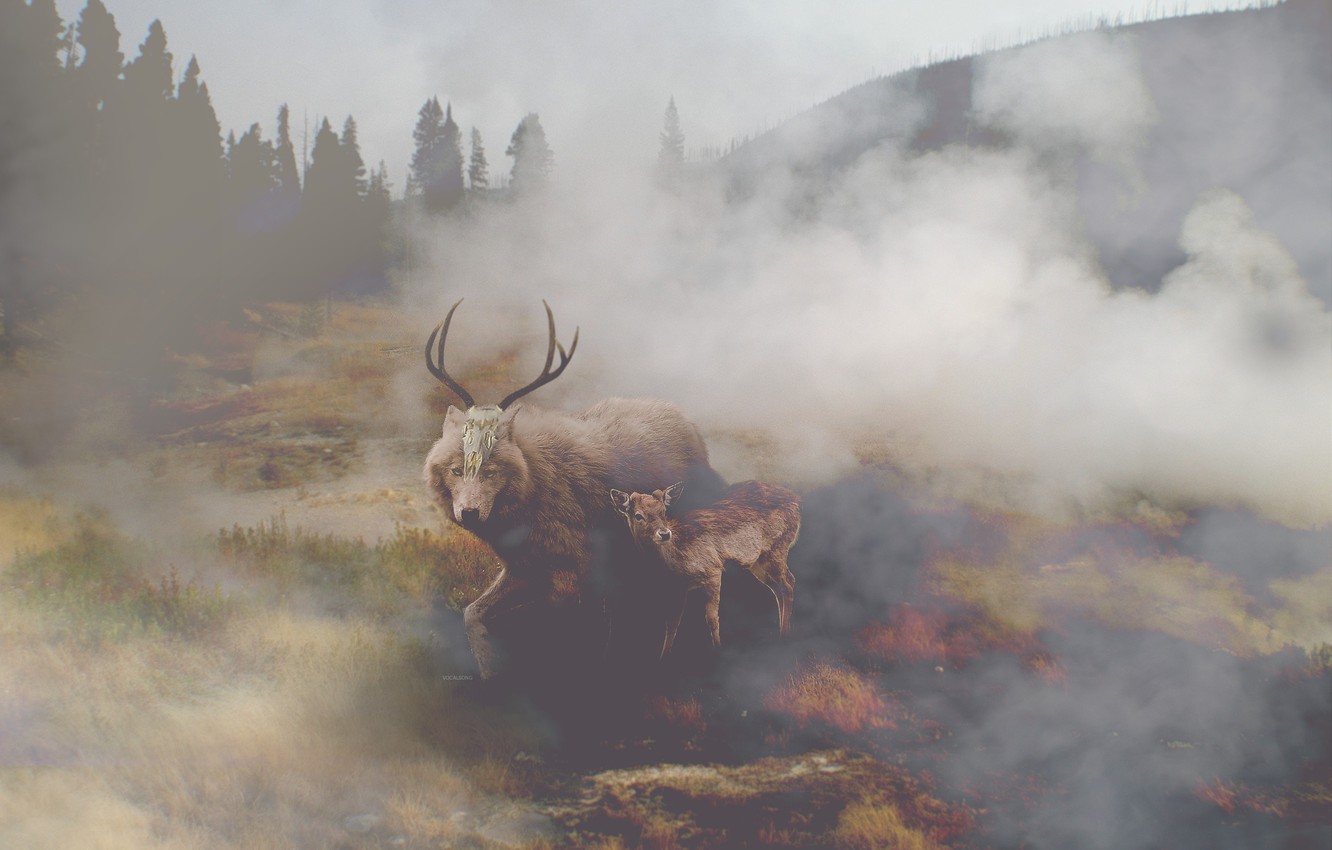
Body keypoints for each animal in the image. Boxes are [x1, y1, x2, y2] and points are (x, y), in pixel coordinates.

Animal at [422, 299, 723, 680]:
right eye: (457, 470)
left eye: (490, 470)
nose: (470, 514)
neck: (536, 480)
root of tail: (687, 419)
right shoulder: (526, 567)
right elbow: (471, 614)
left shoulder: (587, 564)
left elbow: (595, 630)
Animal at [610, 480, 799, 658]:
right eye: (638, 515)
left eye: (663, 511)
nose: (664, 533)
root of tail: (796, 502)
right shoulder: (677, 588)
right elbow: (671, 623)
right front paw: (663, 656)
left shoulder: (712, 568)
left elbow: (712, 619)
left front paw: (719, 649)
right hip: (757, 562)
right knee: (777, 588)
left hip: (777, 547)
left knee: (788, 582)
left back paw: (784, 636)